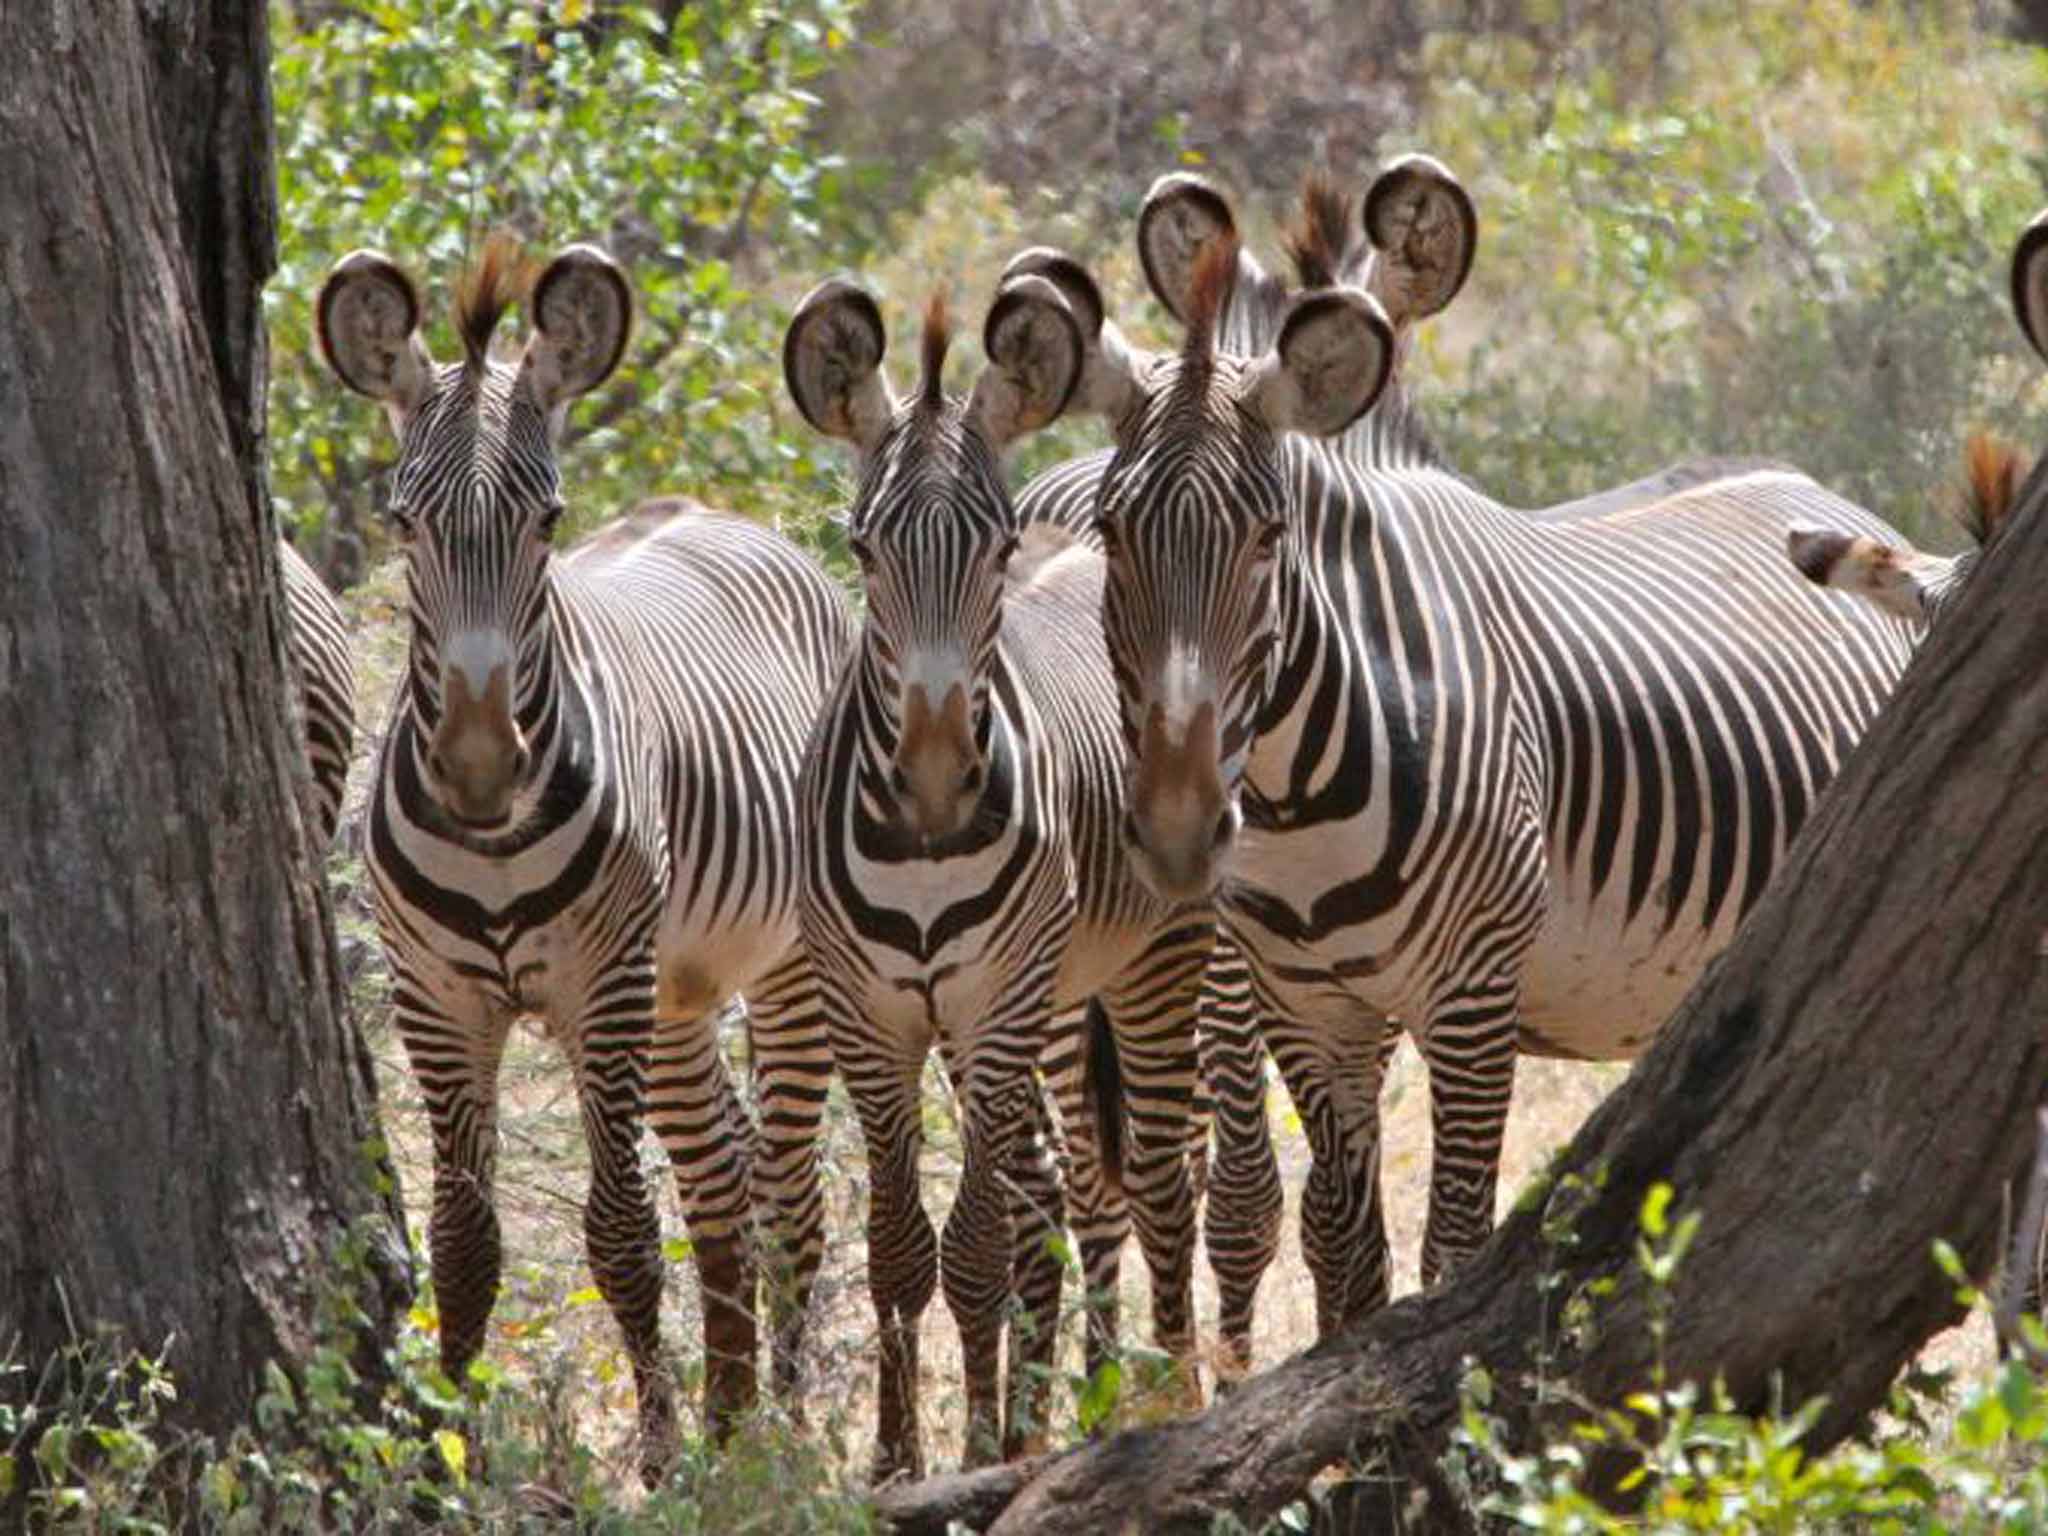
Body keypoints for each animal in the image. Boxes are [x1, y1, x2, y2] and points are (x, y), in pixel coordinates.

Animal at [319, 240, 847, 1482]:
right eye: (403, 525)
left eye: (548, 519)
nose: (474, 767)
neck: (492, 845)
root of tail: (717, 514)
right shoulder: (438, 999)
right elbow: (463, 1243)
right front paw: (455, 1454)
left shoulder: (597, 987)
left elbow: (617, 1230)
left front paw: (654, 1460)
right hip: (675, 991)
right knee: (725, 1176)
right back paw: (731, 1422)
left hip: (783, 967)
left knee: (790, 1190)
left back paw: (785, 1434)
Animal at [790, 276, 1220, 1482]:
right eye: (861, 549)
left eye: (991, 549)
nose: (938, 776)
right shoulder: (869, 1015)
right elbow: (902, 1244)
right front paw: (900, 1461)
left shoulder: (992, 1004)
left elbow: (975, 1241)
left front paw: (979, 1454)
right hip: (1060, 1001)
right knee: (1073, 1190)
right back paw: (1070, 1407)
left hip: (1142, 968)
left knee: (1154, 1183)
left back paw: (1156, 1399)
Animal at [1015, 174, 1925, 1335]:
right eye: (1114, 532)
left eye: (1270, 537)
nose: (1177, 832)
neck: (1292, 795)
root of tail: (1822, 494)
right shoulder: (1310, 1009)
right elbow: (1344, 1239)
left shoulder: (1473, 997)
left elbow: (1448, 1245)